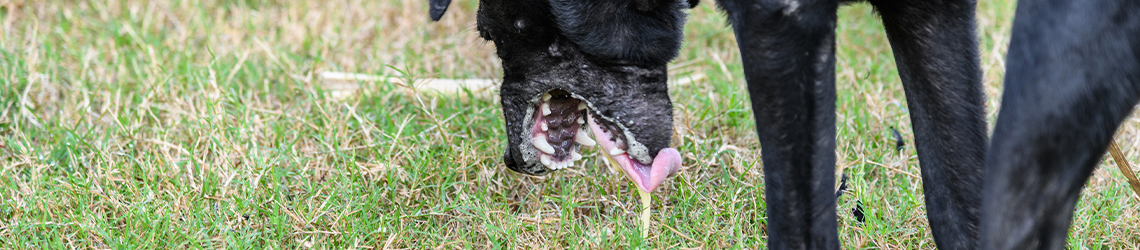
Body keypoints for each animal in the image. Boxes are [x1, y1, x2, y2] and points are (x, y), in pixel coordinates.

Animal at [428, 0, 1140, 248]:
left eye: (491, 32)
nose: (513, 161)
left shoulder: (781, 27)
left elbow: (800, 227)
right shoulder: (930, 13)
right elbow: (958, 203)